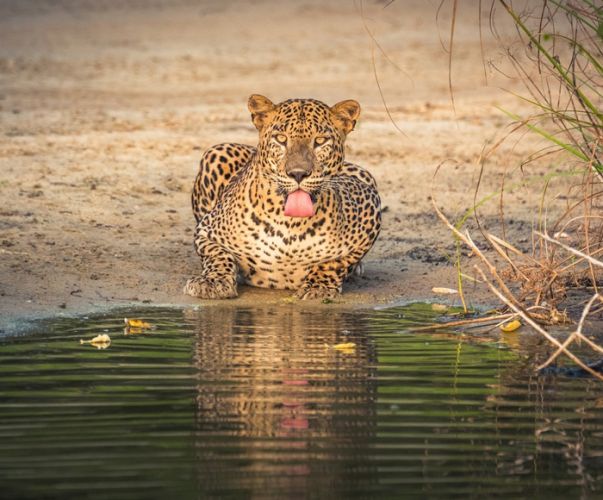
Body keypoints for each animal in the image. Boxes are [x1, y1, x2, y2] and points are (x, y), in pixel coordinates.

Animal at [184, 94, 382, 300]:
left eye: (320, 141)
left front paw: (318, 287)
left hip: (365, 174)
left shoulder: (369, 207)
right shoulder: (206, 230)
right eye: (281, 139)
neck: (290, 225)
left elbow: (335, 262)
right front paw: (212, 282)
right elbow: (218, 255)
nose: (298, 173)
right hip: (216, 151)